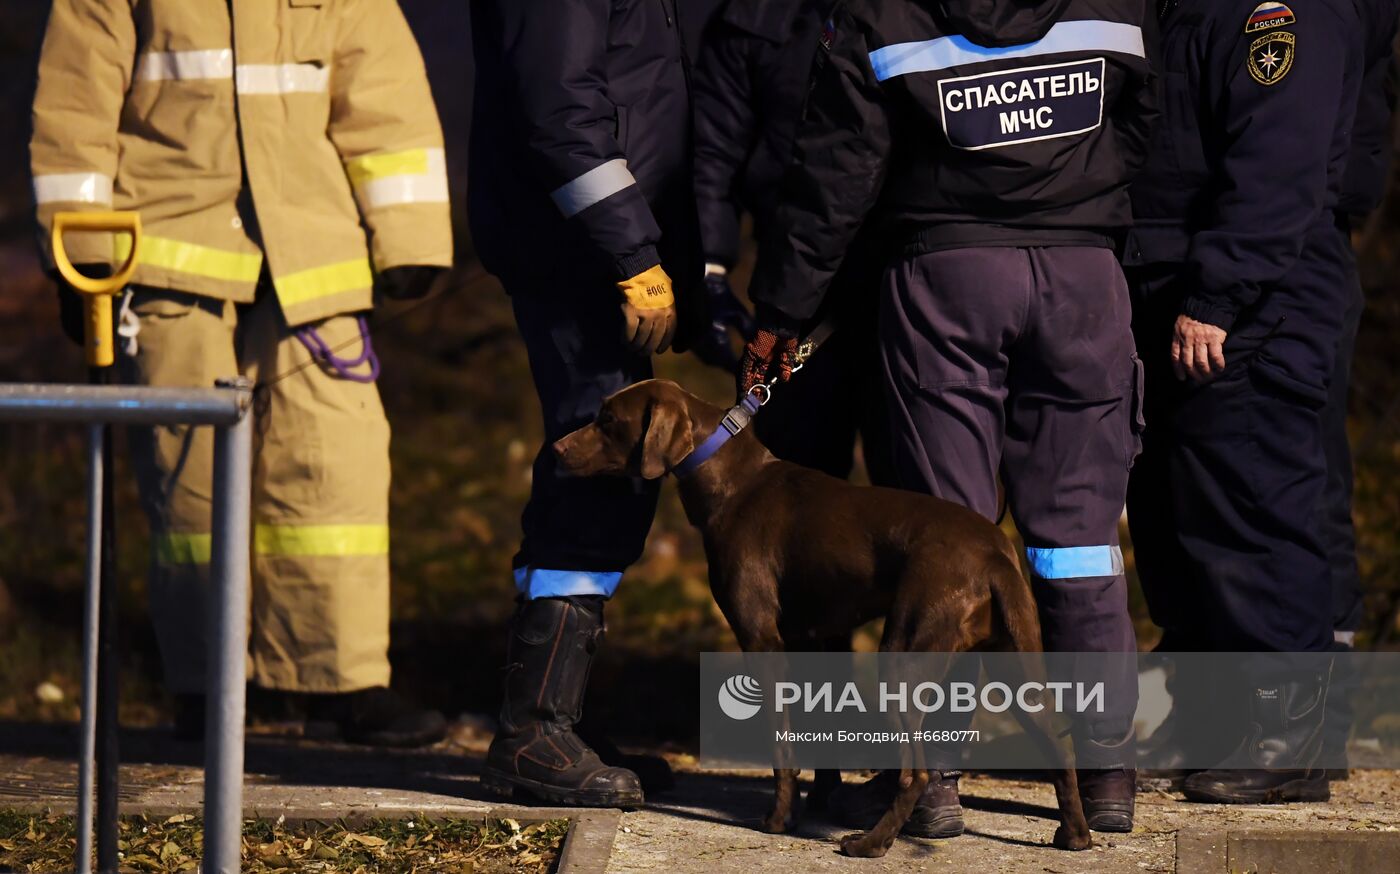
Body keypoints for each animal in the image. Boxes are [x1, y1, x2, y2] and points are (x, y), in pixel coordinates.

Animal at [548, 378, 1092, 857]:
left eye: (607, 420)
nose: (555, 450)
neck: (728, 478)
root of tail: (993, 553)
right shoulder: (816, 639)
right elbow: (817, 731)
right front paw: (812, 806)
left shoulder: (762, 640)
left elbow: (783, 748)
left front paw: (778, 820)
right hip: (1016, 662)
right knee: (1059, 748)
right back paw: (1075, 837)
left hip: (901, 657)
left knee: (915, 773)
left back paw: (871, 844)